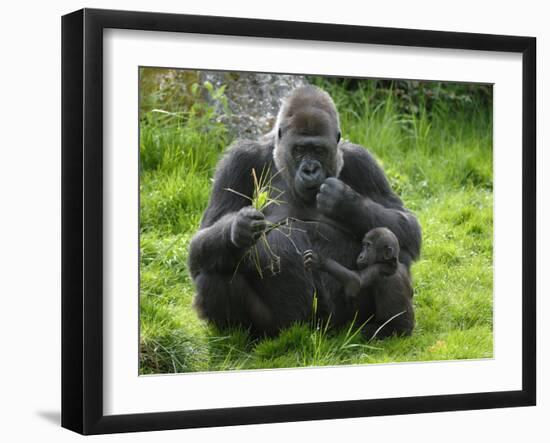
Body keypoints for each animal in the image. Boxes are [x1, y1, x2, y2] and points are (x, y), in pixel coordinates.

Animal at [190, 86, 422, 336]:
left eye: (318, 150)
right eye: (299, 150)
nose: (310, 169)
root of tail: (316, 329)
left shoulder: (363, 161)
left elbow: (407, 226)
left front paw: (345, 202)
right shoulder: (239, 160)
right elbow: (200, 243)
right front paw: (240, 227)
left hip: (345, 322)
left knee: (392, 259)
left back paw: (390, 327)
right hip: (282, 325)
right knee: (213, 270)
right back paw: (242, 336)